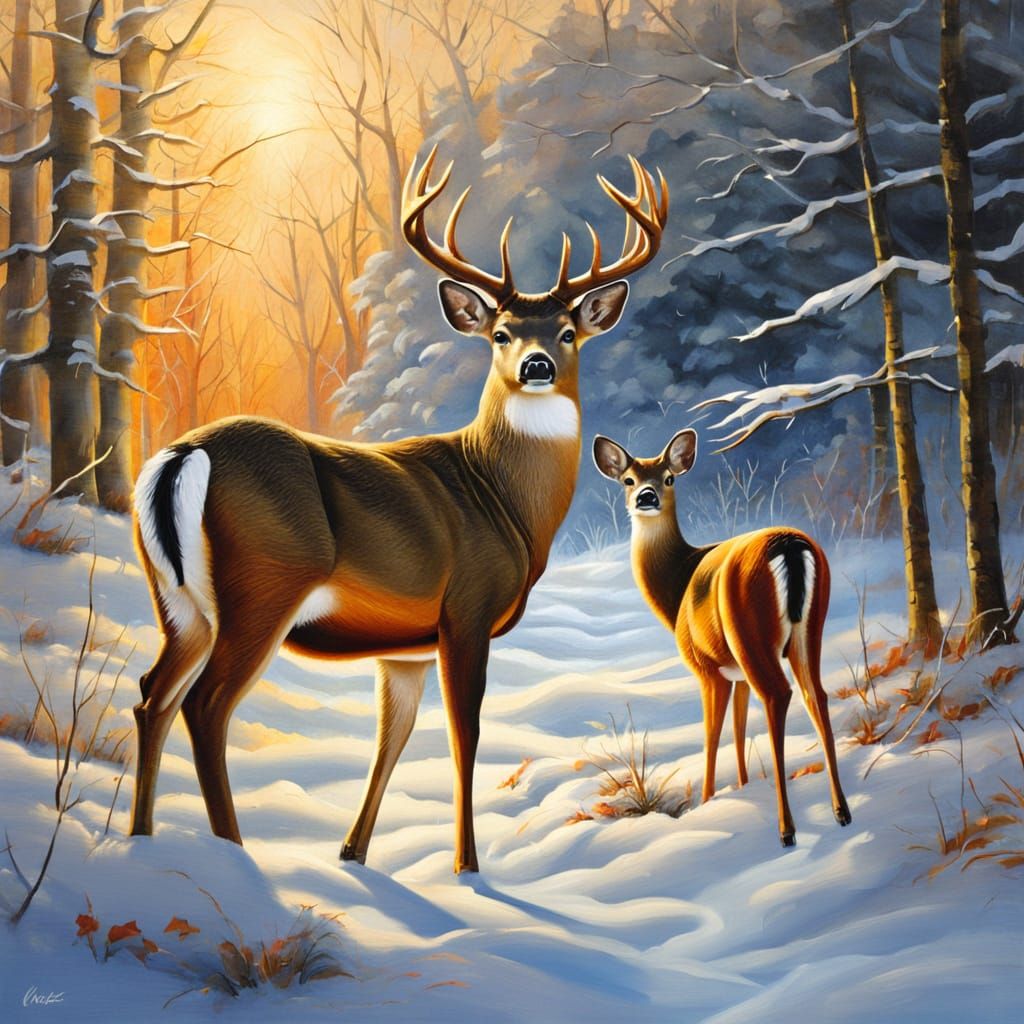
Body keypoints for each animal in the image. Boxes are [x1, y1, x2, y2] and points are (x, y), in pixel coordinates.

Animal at [129, 149, 668, 873]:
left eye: (567, 332)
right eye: (500, 333)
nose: (536, 365)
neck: (506, 503)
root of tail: (184, 453)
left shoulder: (405, 646)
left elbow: (394, 738)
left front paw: (353, 853)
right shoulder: (466, 610)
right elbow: (464, 736)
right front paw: (467, 866)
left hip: (178, 603)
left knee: (150, 696)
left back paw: (139, 839)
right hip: (263, 585)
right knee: (206, 705)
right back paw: (234, 851)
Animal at [593, 429, 851, 847]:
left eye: (669, 478)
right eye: (628, 480)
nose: (646, 497)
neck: (677, 587)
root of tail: (790, 545)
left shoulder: (708, 669)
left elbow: (712, 734)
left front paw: (707, 800)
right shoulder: (736, 674)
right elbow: (738, 728)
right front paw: (743, 787)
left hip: (750, 633)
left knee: (779, 696)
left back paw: (787, 829)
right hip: (809, 629)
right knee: (816, 694)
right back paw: (841, 811)